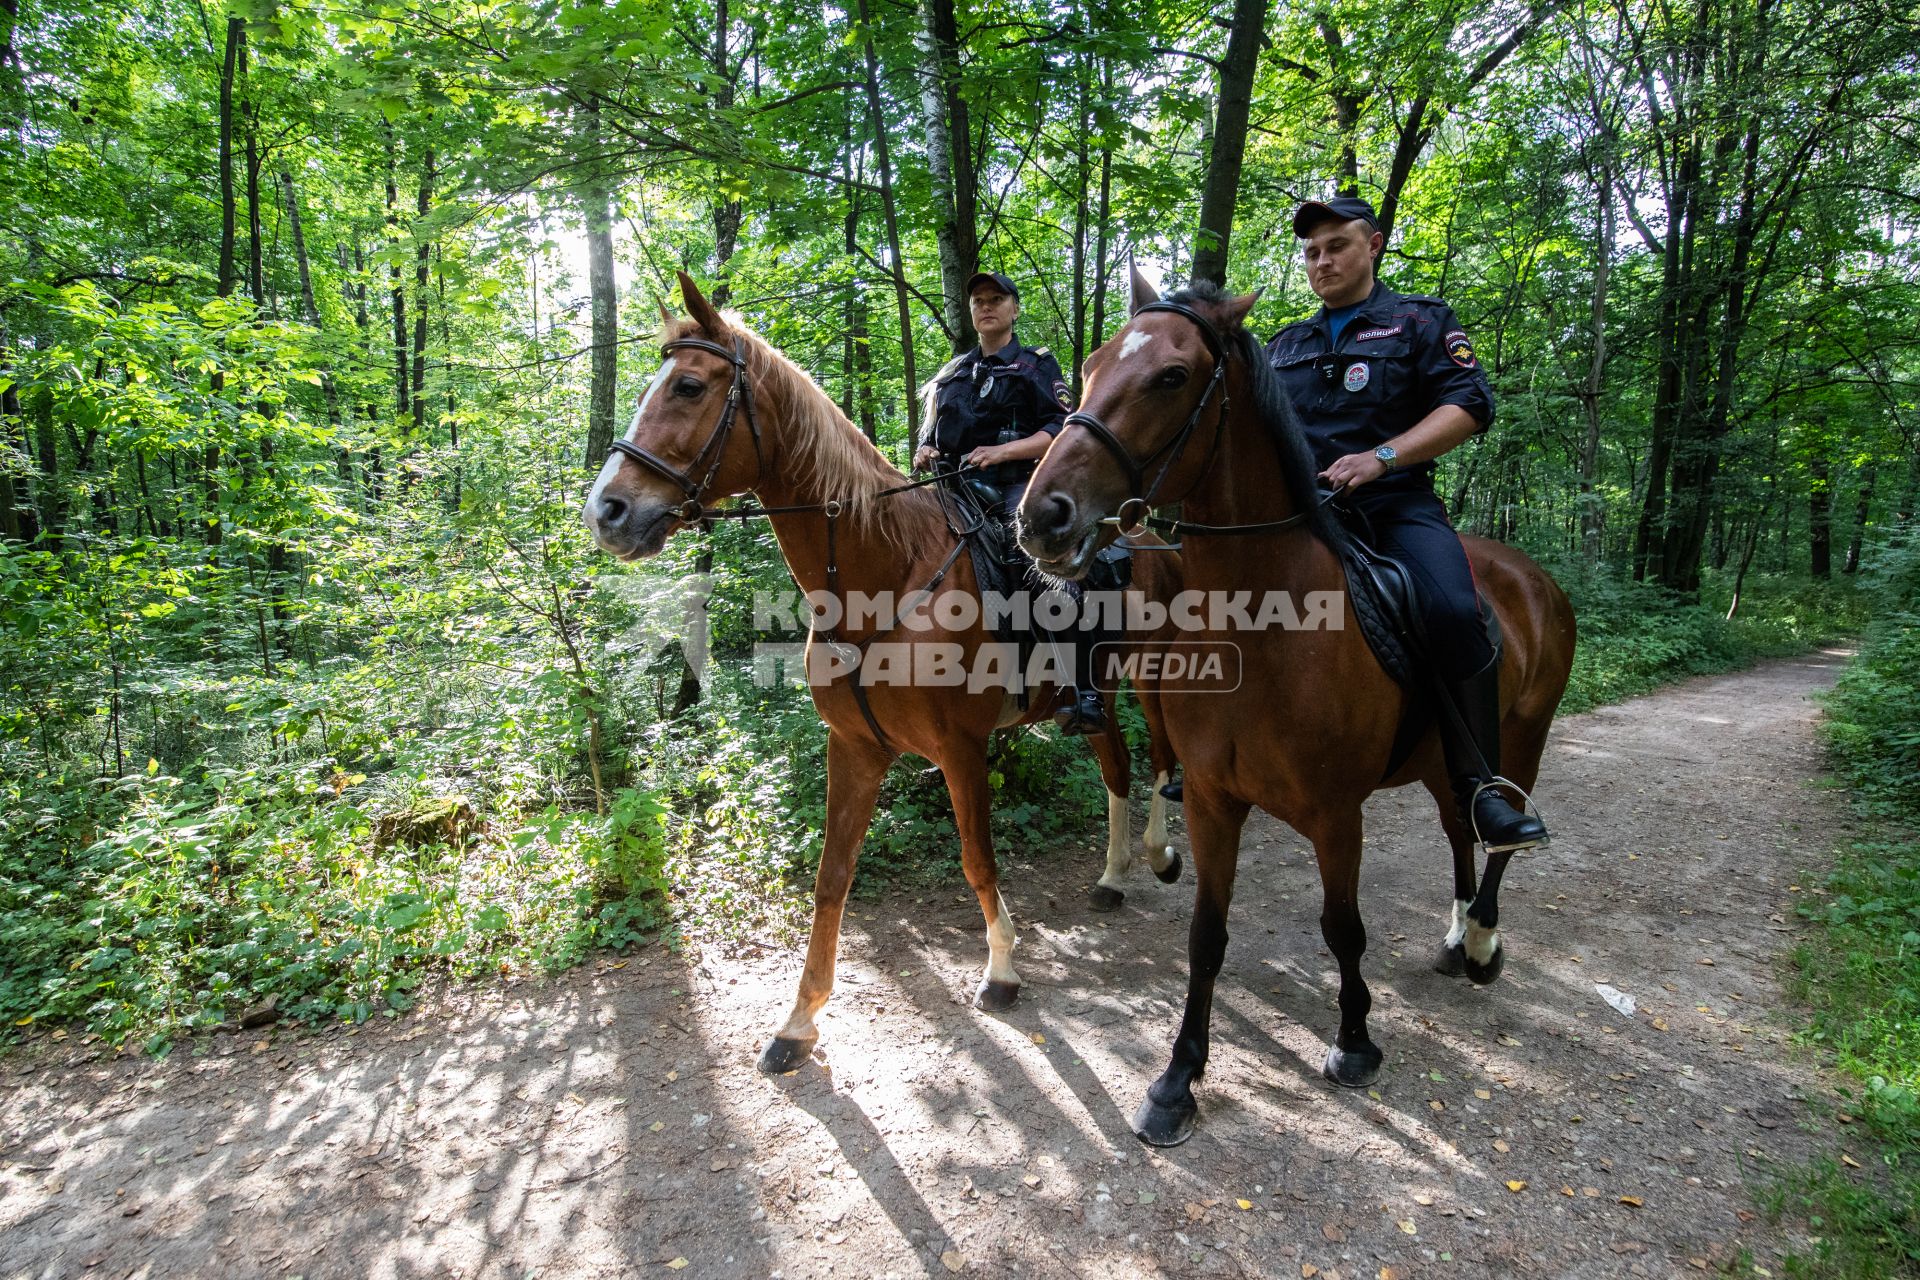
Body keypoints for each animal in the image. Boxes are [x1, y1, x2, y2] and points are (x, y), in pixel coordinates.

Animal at [579, 276, 1182, 1074]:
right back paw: (1113, 876)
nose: (607, 511)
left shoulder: (961, 749)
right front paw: (798, 1021)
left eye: (688, 386)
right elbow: (831, 879)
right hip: (1099, 696)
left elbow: (977, 860)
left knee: (1159, 762)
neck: (884, 573)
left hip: (1156, 677)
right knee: (1115, 762)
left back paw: (1159, 854)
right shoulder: (855, 748)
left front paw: (1001, 971)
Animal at [1021, 272, 1574, 1151]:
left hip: (1523, 738)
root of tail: (1533, 576)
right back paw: (1457, 936)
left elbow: (1342, 927)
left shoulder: (1335, 813)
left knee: (1498, 837)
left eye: (1172, 376)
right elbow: (1206, 936)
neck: (1264, 619)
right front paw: (1177, 1081)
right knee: (1460, 828)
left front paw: (1354, 1042)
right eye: (1093, 364)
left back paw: (1484, 939)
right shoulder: (1214, 801)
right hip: (1439, 762)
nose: (1044, 515)